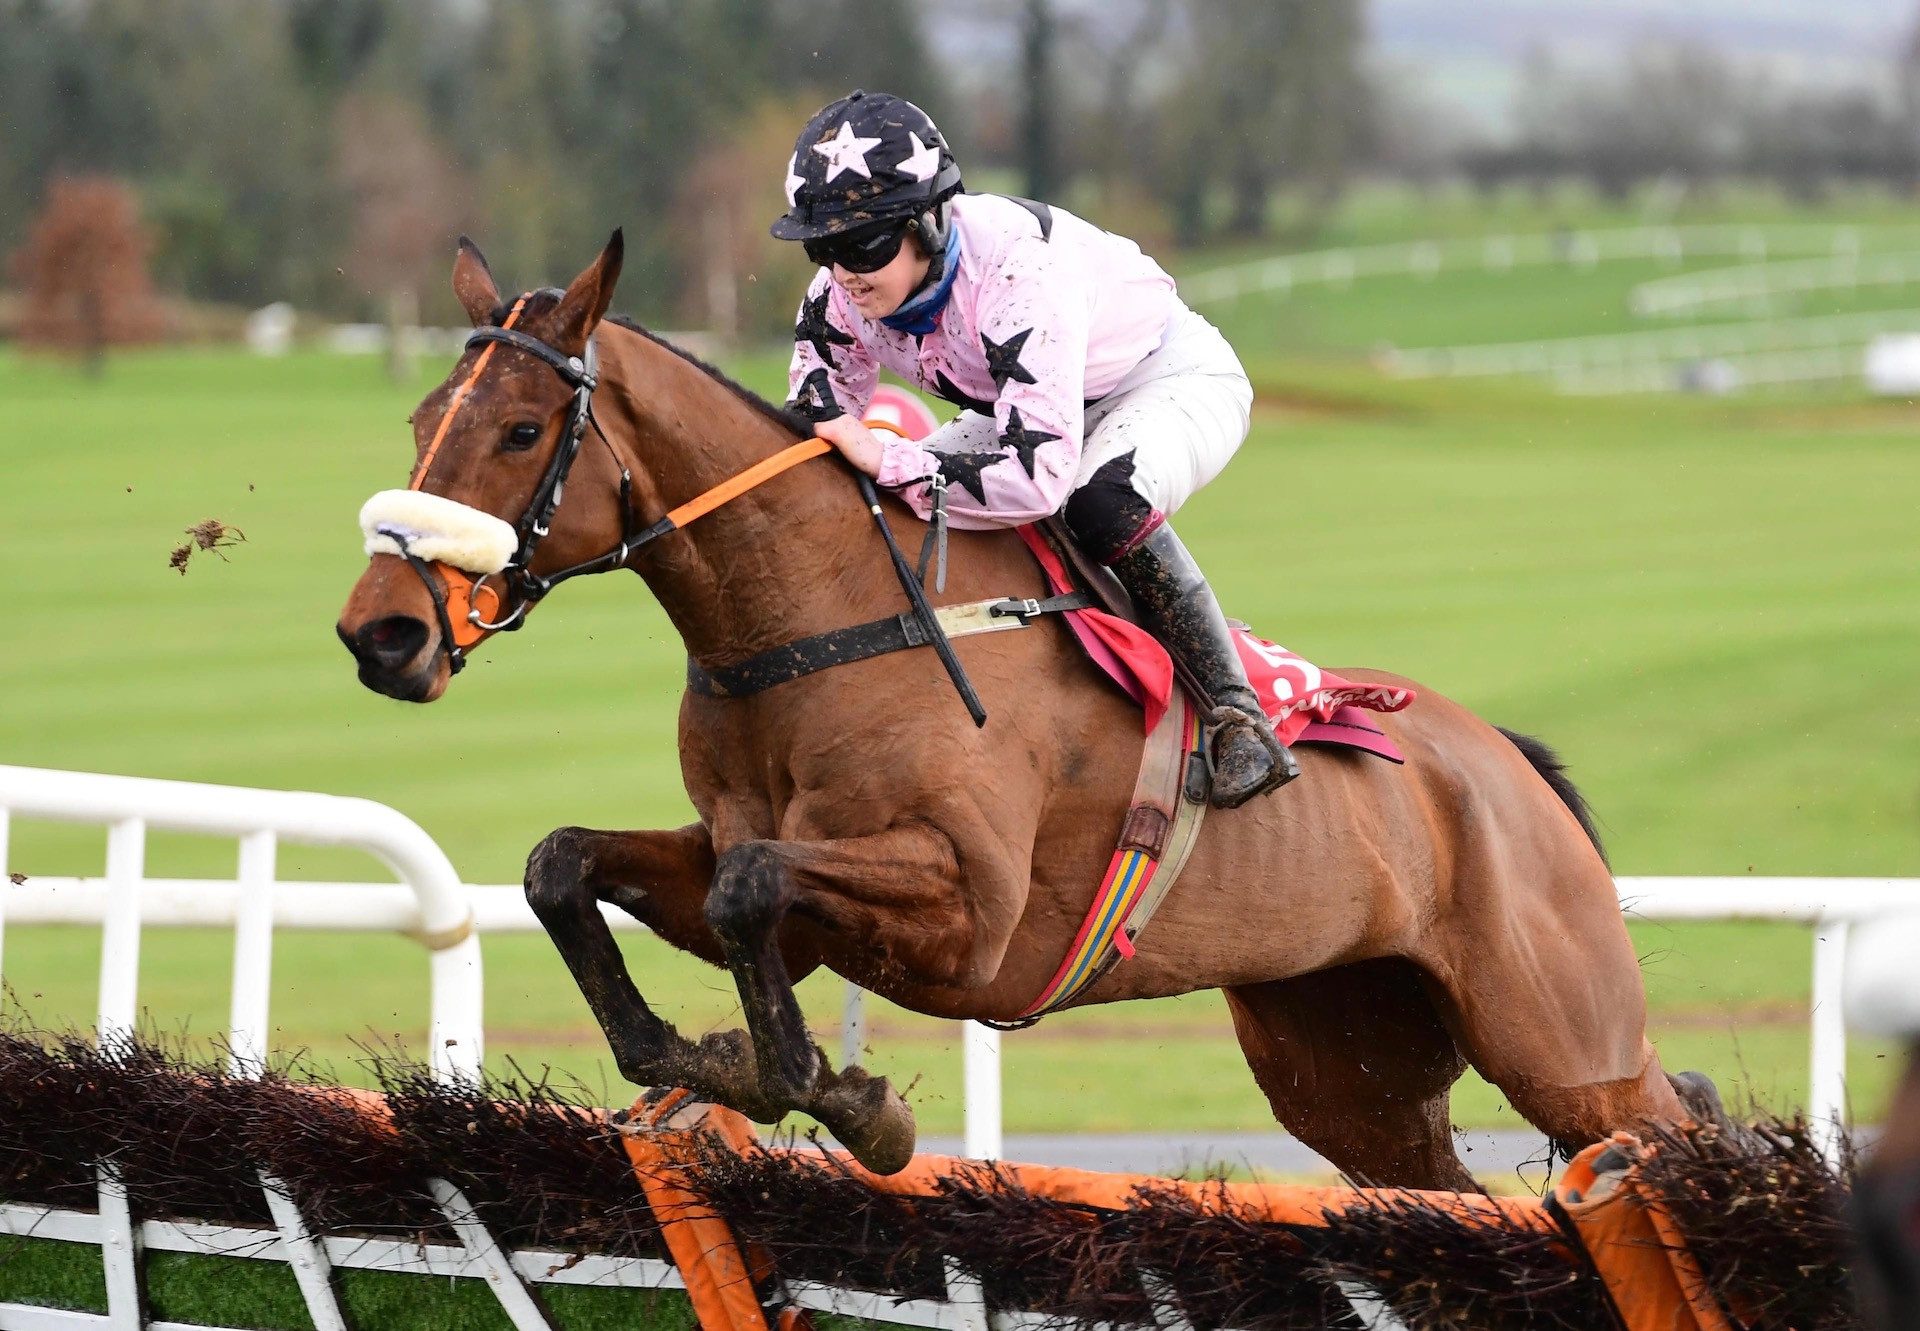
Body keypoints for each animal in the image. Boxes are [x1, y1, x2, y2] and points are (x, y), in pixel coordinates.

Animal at [337, 233, 1704, 1175]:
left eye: (522, 430)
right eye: (418, 418)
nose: (381, 632)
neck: (822, 615)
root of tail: (1509, 770)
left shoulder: (971, 915)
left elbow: (751, 894)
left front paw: (845, 1098)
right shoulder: (754, 861)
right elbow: (569, 864)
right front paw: (717, 1060)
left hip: (1567, 1044)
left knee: (1658, 1118)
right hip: (1346, 1065)